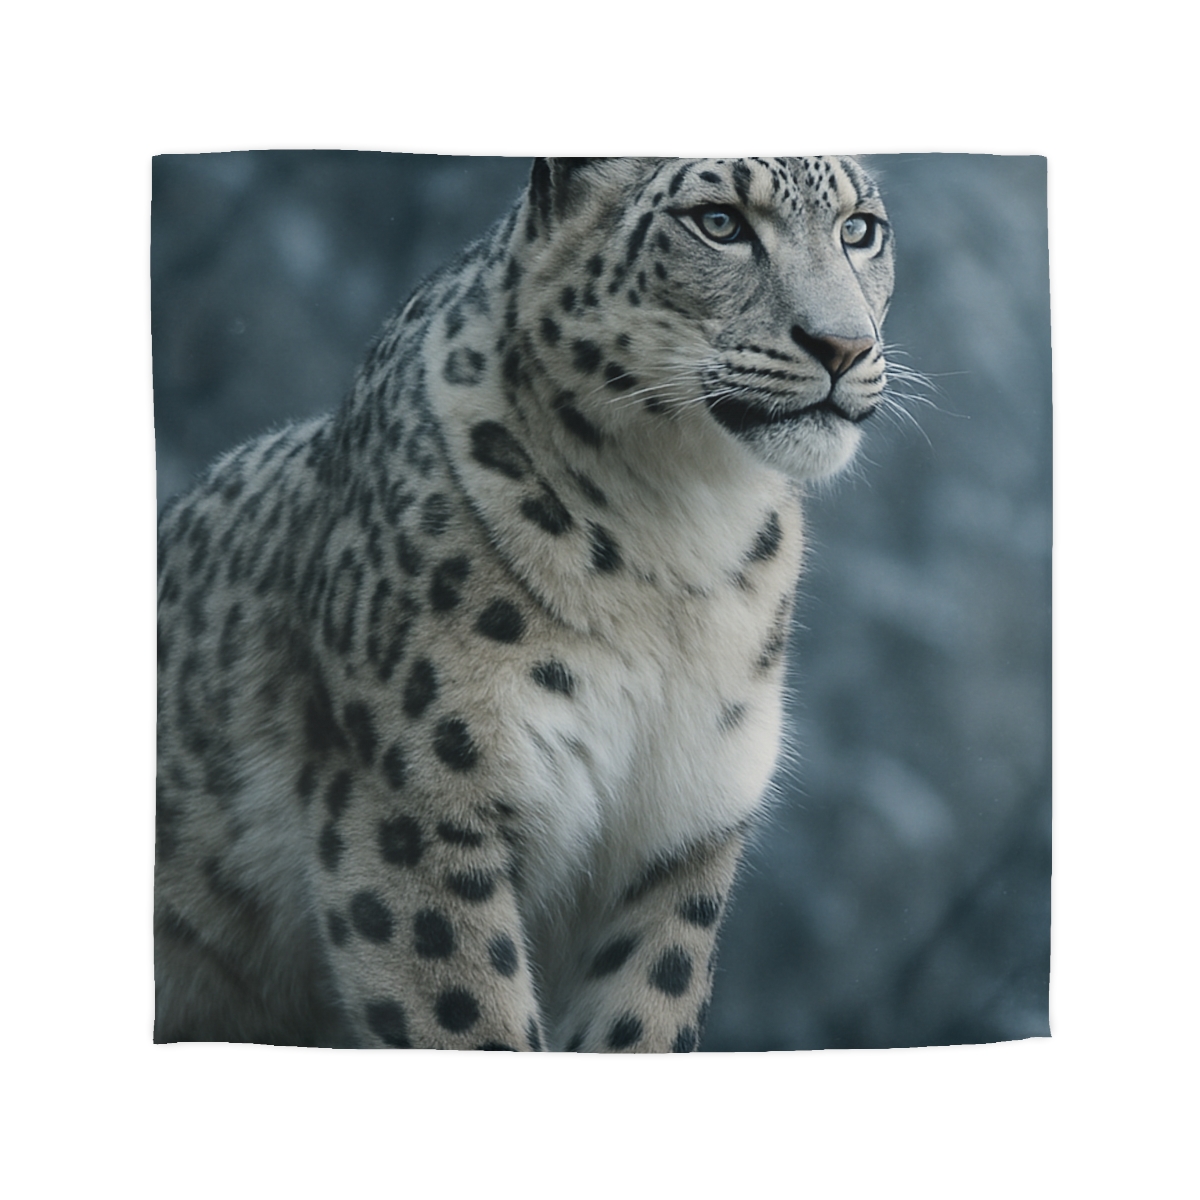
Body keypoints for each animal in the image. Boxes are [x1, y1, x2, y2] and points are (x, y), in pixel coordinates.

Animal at [154, 156, 896, 1051]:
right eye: (719, 222)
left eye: (859, 229)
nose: (844, 345)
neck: (684, 539)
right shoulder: (419, 812)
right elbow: (471, 1017)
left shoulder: (679, 842)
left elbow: (644, 1015)